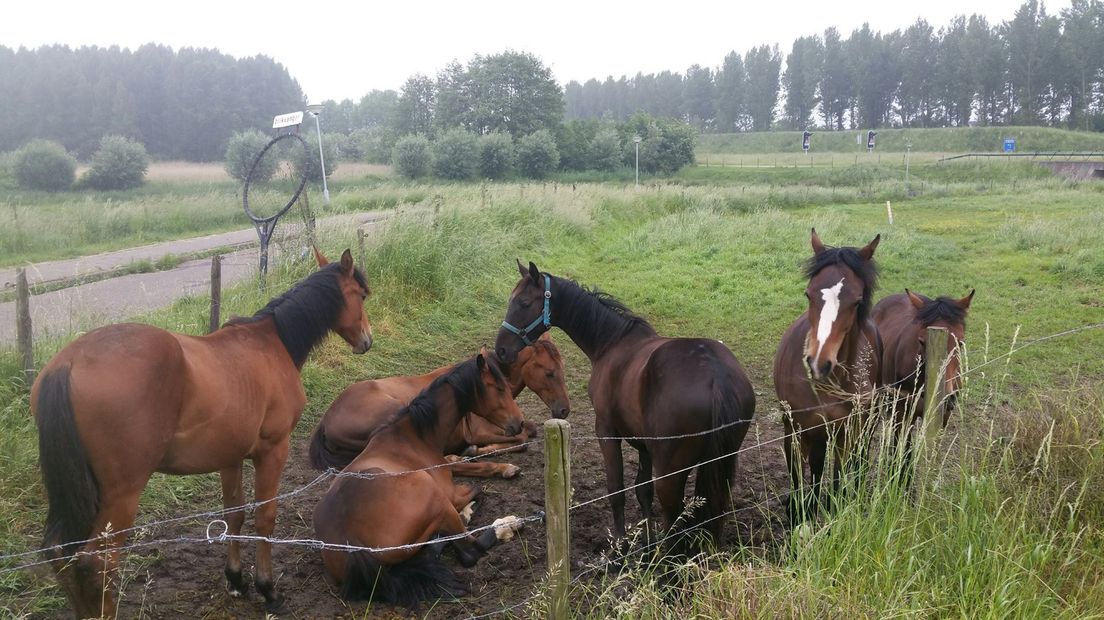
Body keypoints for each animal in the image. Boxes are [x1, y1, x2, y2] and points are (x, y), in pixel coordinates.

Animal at [32, 247, 373, 617]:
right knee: (97, 562)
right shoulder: (273, 450)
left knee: (62, 555)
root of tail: (70, 362)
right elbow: (265, 518)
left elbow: (234, 515)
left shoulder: (230, 457)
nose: (367, 340)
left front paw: (236, 580)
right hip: (121, 495)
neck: (271, 343)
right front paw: (268, 590)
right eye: (361, 295)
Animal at [309, 330, 569, 474]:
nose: (564, 409)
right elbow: (523, 439)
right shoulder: (480, 431)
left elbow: (529, 430)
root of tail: (325, 420)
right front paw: (475, 450)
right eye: (549, 373)